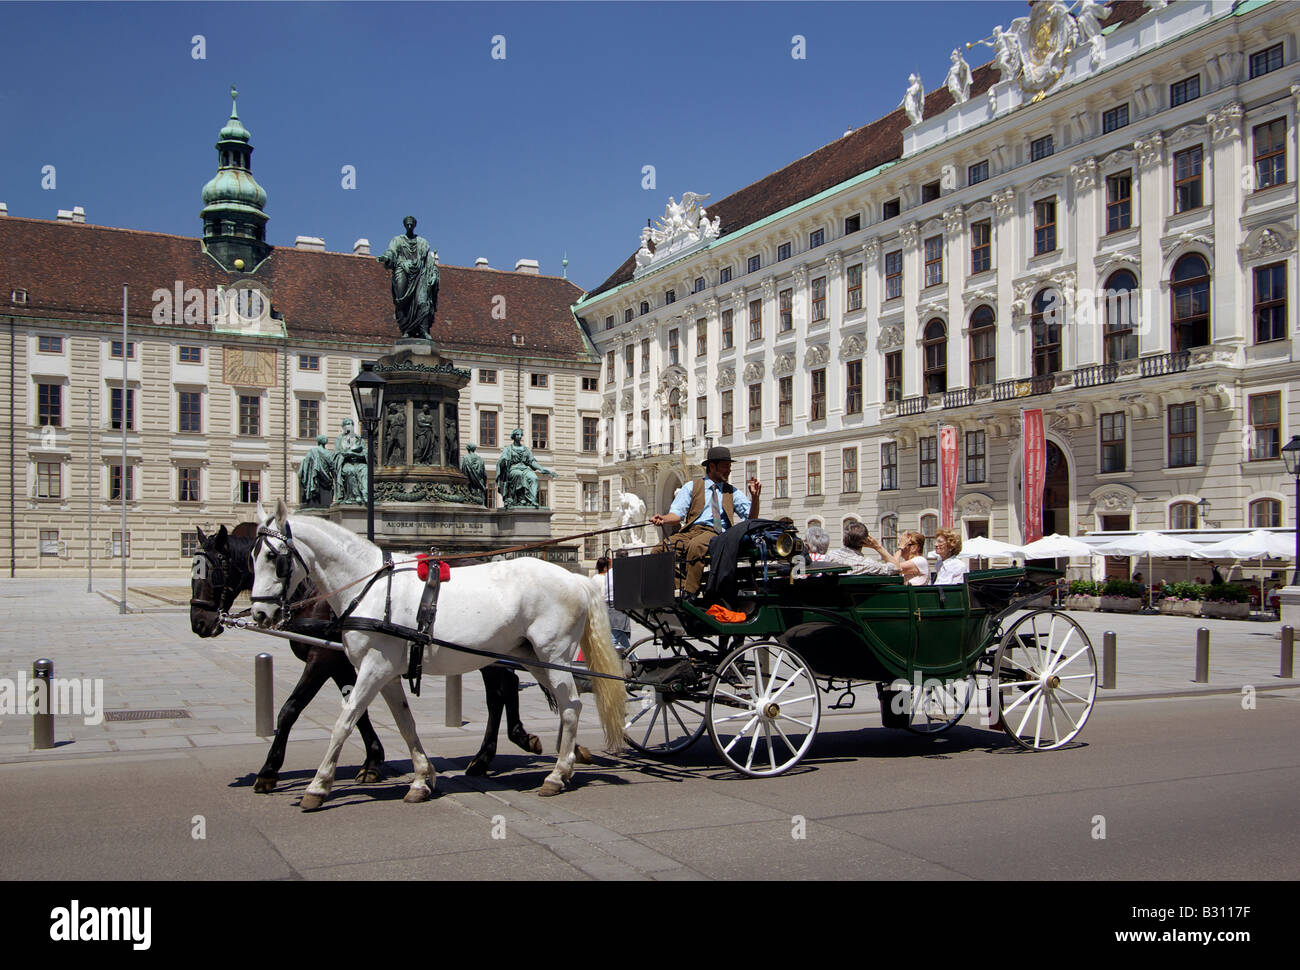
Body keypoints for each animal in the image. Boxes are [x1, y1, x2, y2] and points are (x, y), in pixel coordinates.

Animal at [189, 522, 543, 785]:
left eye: (210, 571)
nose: (199, 622)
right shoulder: (343, 661)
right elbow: (357, 710)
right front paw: (373, 760)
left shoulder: (322, 660)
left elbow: (291, 708)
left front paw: (268, 771)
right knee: (504, 688)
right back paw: (496, 751)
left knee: (501, 691)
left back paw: (497, 750)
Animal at [250, 499, 626, 806]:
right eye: (251, 557)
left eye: (273, 557)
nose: (259, 614)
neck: (370, 586)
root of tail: (577, 580)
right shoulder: (384, 673)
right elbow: (404, 723)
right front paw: (421, 778)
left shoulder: (371, 668)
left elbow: (344, 720)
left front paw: (318, 784)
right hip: (532, 657)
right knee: (558, 702)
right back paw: (562, 761)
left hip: (554, 655)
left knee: (570, 706)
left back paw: (557, 774)